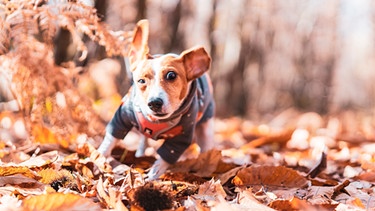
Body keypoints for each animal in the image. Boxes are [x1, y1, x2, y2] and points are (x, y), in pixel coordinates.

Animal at [97, 19, 214, 179]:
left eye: (171, 75)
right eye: (141, 81)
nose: (154, 103)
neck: (157, 121)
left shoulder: (182, 135)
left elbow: (166, 155)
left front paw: (154, 173)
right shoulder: (121, 116)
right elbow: (111, 138)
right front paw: (98, 158)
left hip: (206, 122)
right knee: (143, 138)